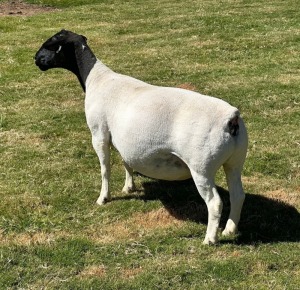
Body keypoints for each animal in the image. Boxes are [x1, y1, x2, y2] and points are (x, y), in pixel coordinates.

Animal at [34, 29, 248, 244]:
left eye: (50, 43)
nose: (36, 59)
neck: (96, 78)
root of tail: (231, 118)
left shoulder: (99, 133)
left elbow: (105, 169)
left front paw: (103, 198)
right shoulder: (121, 138)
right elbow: (126, 162)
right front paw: (129, 187)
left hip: (201, 166)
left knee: (215, 203)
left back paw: (210, 239)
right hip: (234, 161)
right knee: (238, 195)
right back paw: (230, 230)